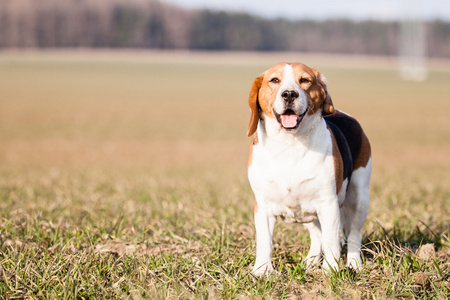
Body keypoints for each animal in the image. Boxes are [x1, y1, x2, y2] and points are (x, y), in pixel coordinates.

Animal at [248, 62, 370, 276]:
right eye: (274, 80)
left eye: (304, 80)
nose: (289, 94)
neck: (289, 144)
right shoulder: (262, 207)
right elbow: (264, 242)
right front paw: (262, 271)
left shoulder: (328, 204)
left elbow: (332, 242)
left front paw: (331, 271)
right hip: (308, 212)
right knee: (317, 235)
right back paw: (311, 261)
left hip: (359, 197)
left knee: (354, 235)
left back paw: (354, 264)